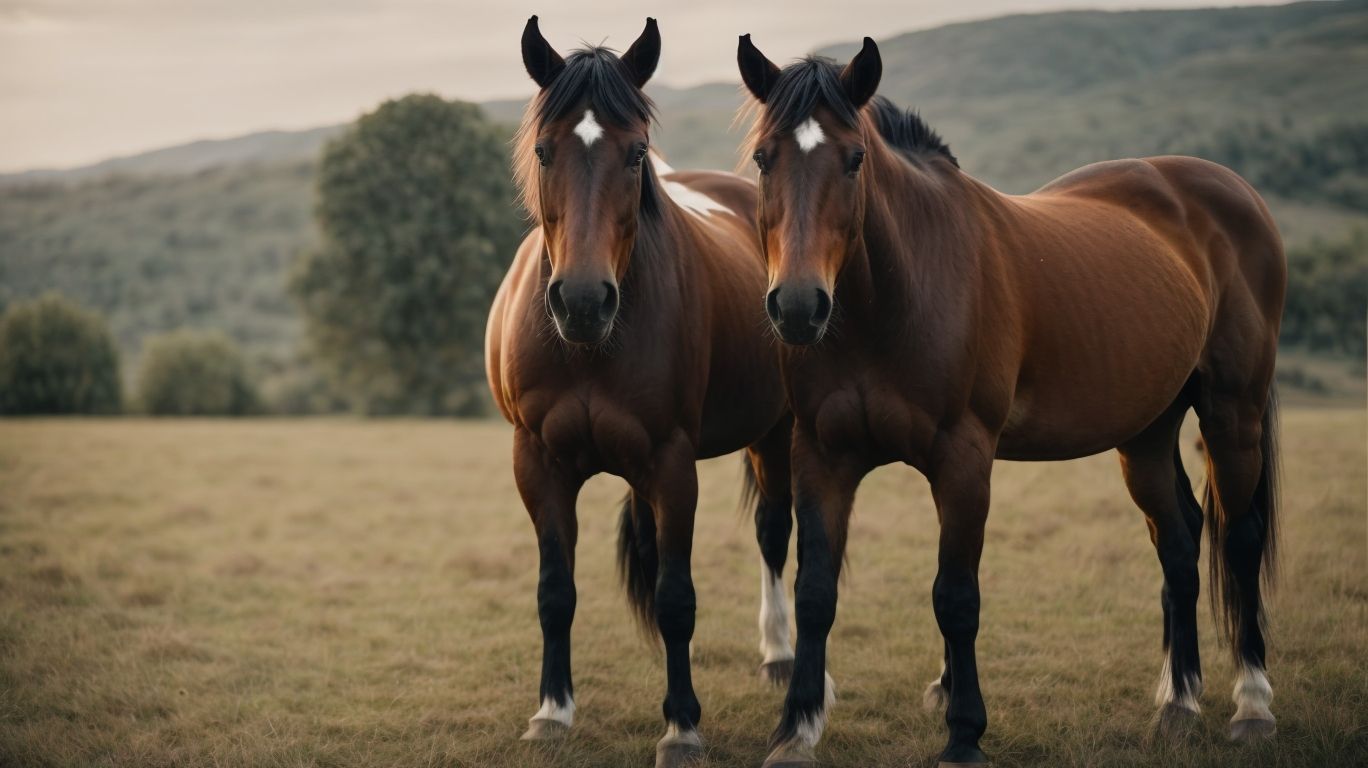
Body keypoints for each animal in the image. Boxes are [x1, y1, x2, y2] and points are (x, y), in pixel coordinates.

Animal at [485, 16, 798, 767]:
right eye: (543, 150)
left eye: (635, 155)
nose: (581, 301)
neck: (589, 347)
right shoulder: (537, 463)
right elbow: (555, 592)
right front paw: (552, 711)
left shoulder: (672, 464)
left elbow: (676, 597)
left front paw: (681, 726)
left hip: (776, 433)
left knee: (774, 533)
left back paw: (780, 653)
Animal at [735, 35, 1284, 768]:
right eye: (764, 158)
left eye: (854, 159)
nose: (798, 306)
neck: (899, 296)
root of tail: (1230, 190)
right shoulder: (821, 456)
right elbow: (816, 591)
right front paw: (795, 729)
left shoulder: (964, 458)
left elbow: (956, 597)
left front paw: (964, 733)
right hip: (1145, 433)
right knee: (1178, 540)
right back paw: (1179, 702)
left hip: (1233, 414)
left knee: (1242, 539)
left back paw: (1251, 705)